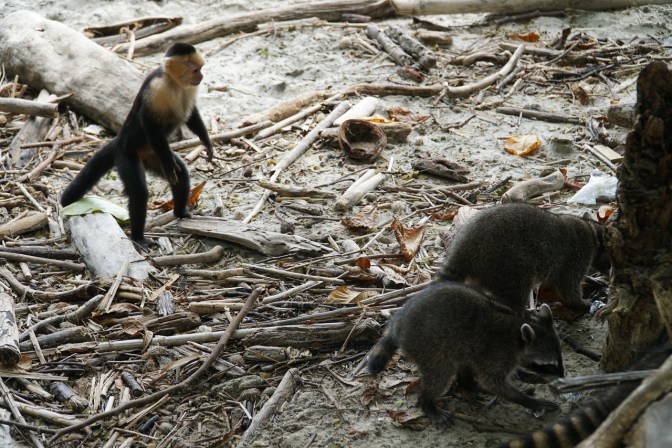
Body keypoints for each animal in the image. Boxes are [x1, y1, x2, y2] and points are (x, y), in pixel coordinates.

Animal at [60, 42, 213, 250]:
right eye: (195, 70)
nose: (201, 77)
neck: (173, 82)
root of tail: (120, 140)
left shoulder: (188, 88)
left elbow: (191, 115)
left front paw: (206, 141)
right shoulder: (157, 88)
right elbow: (148, 122)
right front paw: (169, 162)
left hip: (151, 154)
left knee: (180, 174)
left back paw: (180, 212)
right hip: (127, 155)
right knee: (140, 191)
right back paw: (138, 237)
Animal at [367, 281, 562, 425]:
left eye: (559, 360)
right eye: (549, 365)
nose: (562, 376)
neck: (516, 335)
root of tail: (398, 326)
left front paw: (530, 376)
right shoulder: (495, 355)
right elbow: (493, 382)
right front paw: (531, 401)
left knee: (464, 364)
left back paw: (470, 385)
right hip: (427, 347)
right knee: (440, 376)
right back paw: (427, 402)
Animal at [435, 203, 609, 314]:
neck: (592, 231)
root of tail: (465, 246)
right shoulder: (576, 256)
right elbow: (567, 285)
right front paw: (579, 302)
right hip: (508, 264)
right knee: (517, 292)